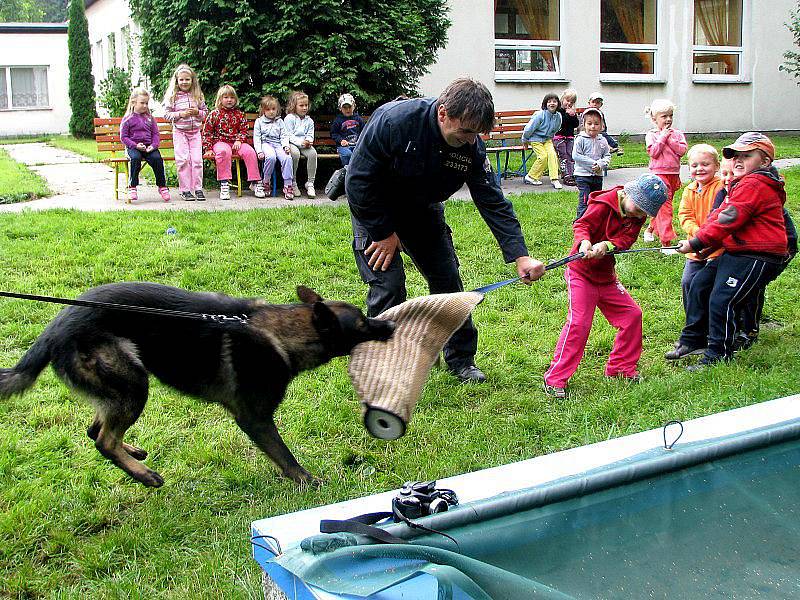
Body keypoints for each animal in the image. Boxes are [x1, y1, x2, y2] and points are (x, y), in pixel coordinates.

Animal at [0, 282, 394, 488]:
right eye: (362, 323)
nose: (389, 326)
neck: (279, 333)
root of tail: (55, 328)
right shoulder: (255, 419)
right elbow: (284, 455)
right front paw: (308, 482)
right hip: (134, 383)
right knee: (103, 439)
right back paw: (144, 475)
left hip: (120, 387)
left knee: (94, 429)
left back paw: (134, 453)